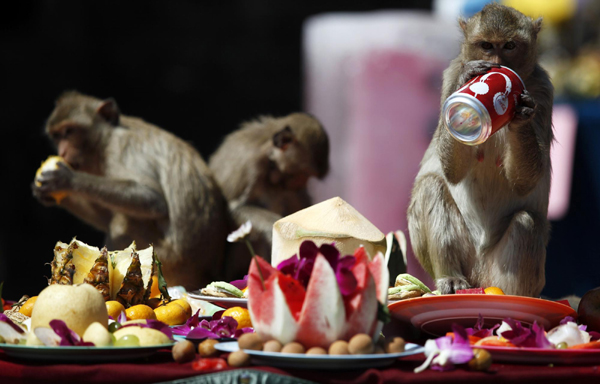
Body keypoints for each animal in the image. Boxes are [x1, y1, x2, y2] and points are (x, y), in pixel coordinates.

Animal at [31, 91, 231, 288]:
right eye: (57, 136)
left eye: (69, 131)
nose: (62, 152)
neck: (105, 141)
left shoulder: (119, 148)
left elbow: (152, 199)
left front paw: (65, 180)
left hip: (172, 259)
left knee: (123, 222)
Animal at [408, 3, 552, 296]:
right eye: (486, 45)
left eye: (509, 45)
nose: (497, 65)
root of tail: (479, 278)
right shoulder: (450, 75)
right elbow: (452, 171)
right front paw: (471, 79)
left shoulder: (543, 91)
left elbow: (525, 182)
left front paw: (520, 113)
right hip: (464, 259)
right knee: (430, 187)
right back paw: (451, 277)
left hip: (500, 273)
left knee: (526, 222)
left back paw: (512, 298)